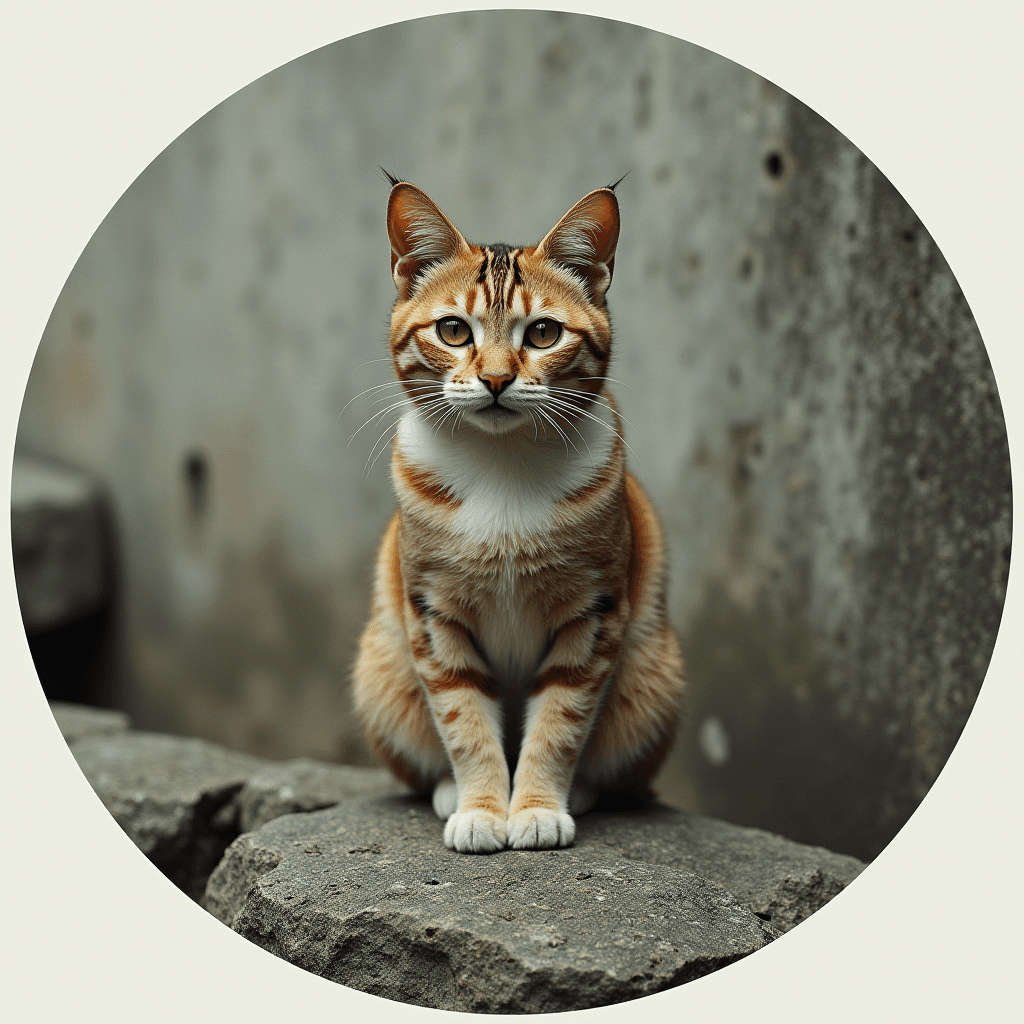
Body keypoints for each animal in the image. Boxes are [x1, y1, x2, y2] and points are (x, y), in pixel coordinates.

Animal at [350, 178, 679, 856]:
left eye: (544, 334)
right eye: (453, 330)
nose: (498, 379)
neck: (501, 466)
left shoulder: (593, 614)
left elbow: (559, 721)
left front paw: (535, 809)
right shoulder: (433, 615)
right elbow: (464, 720)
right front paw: (480, 808)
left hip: (653, 679)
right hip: (380, 673)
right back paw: (447, 792)